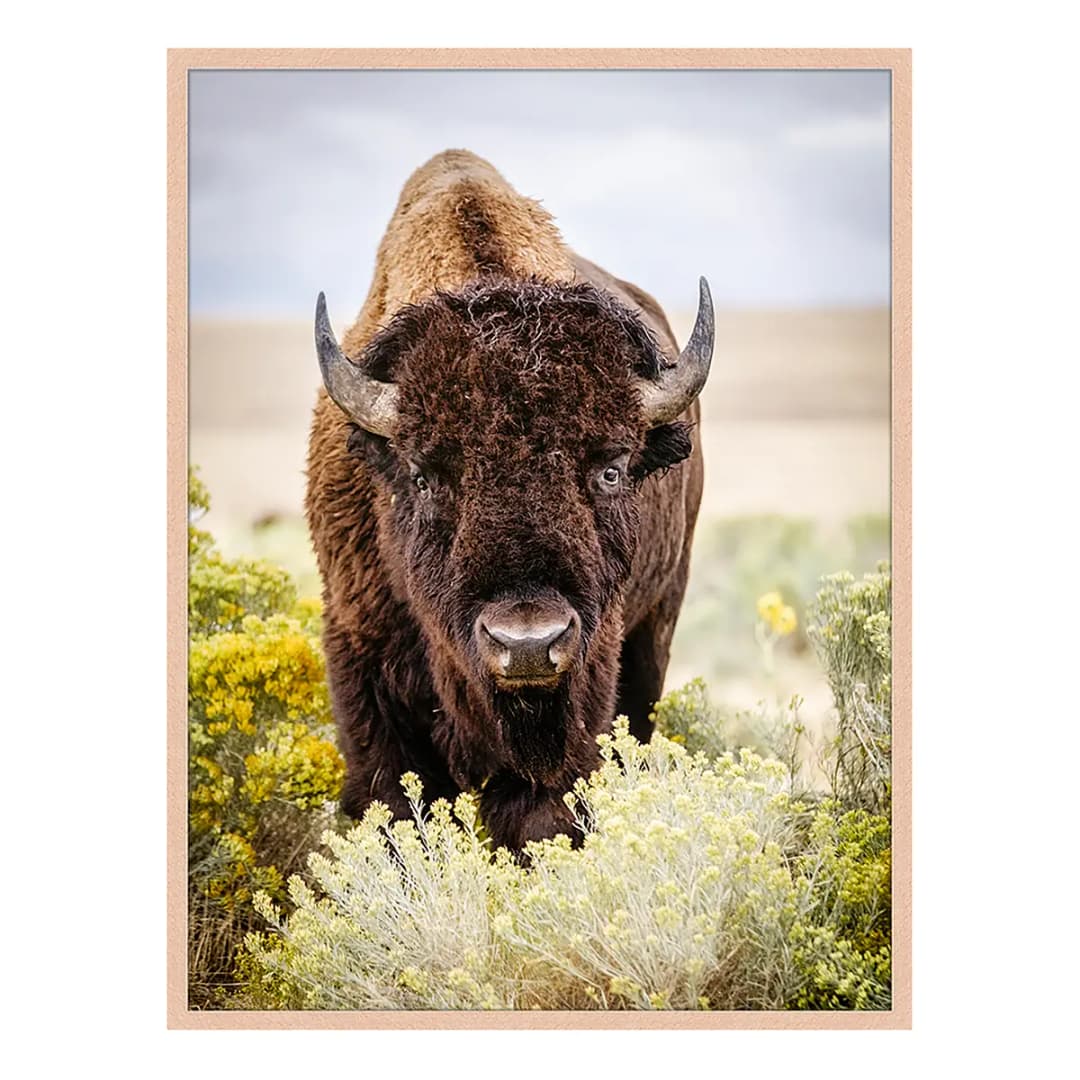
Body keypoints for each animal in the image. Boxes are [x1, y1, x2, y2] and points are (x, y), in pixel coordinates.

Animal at [306, 150, 713, 851]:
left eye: (612, 469)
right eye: (423, 475)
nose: (526, 643)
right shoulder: (362, 664)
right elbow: (393, 809)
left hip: (657, 625)